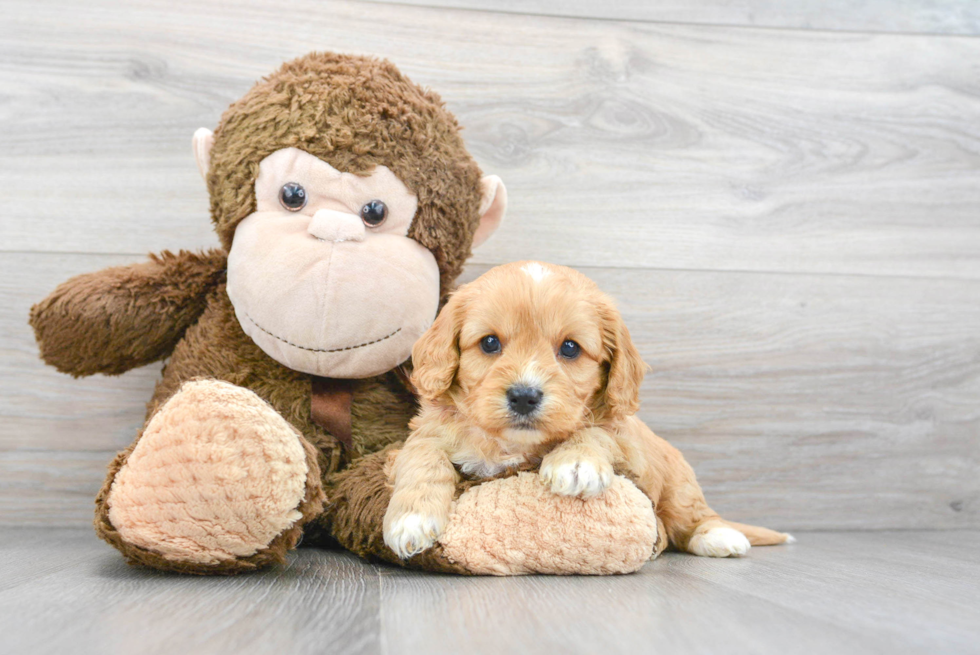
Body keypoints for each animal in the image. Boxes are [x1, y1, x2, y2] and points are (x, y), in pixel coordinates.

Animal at [382, 262, 788, 560]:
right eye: (490, 343)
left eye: (570, 348)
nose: (524, 396)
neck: (513, 445)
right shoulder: (426, 432)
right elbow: (423, 457)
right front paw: (412, 519)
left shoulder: (624, 437)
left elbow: (595, 430)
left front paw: (575, 462)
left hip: (679, 485)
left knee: (693, 515)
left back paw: (719, 537)